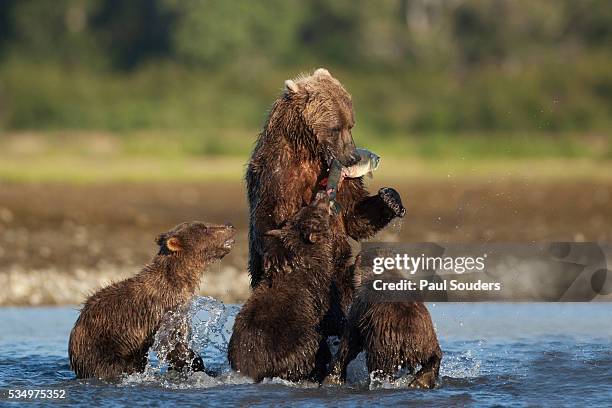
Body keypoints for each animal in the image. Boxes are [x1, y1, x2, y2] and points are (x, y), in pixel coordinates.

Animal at [68, 222, 235, 380]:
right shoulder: (163, 309)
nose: (230, 226)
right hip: (102, 345)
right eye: (205, 227)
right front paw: (195, 364)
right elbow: (170, 342)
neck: (178, 283)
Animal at [244, 67, 406, 322]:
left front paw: (390, 198)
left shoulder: (339, 178)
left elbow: (354, 215)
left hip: (340, 271)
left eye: (351, 124)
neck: (308, 150)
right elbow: (268, 210)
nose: (351, 157)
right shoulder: (276, 169)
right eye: (335, 127)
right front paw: (281, 257)